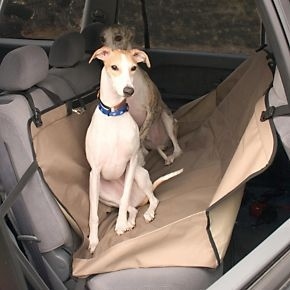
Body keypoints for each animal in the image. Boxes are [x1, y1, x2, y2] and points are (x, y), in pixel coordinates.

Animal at [85, 46, 184, 254]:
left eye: (133, 68)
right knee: (133, 207)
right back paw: (131, 220)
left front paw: (120, 224)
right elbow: (93, 216)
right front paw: (94, 241)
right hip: (103, 192)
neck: (114, 114)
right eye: (114, 67)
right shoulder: (95, 172)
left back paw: (144, 214)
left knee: (151, 200)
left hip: (143, 168)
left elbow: (124, 199)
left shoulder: (131, 163)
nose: (128, 90)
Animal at [99, 23, 181, 164]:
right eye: (102, 39)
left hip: (166, 117)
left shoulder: (152, 111)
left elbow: (141, 135)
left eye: (118, 37)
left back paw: (170, 157)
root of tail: (159, 143)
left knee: (177, 149)